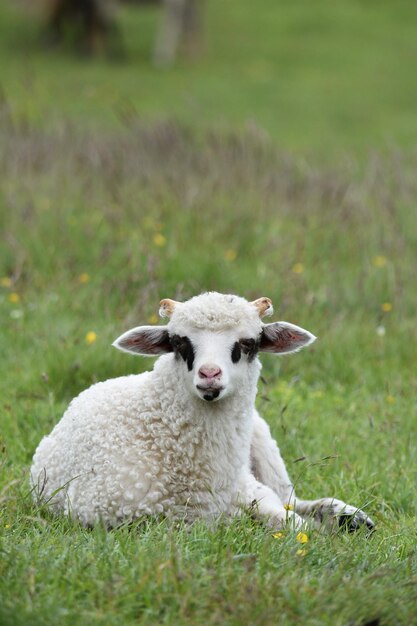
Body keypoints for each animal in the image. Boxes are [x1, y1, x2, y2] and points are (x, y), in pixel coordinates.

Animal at [30, 290, 374, 528]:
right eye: (180, 342)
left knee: (291, 498)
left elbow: (287, 519)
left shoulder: (245, 486)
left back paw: (346, 515)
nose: (209, 374)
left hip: (263, 442)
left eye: (248, 343)